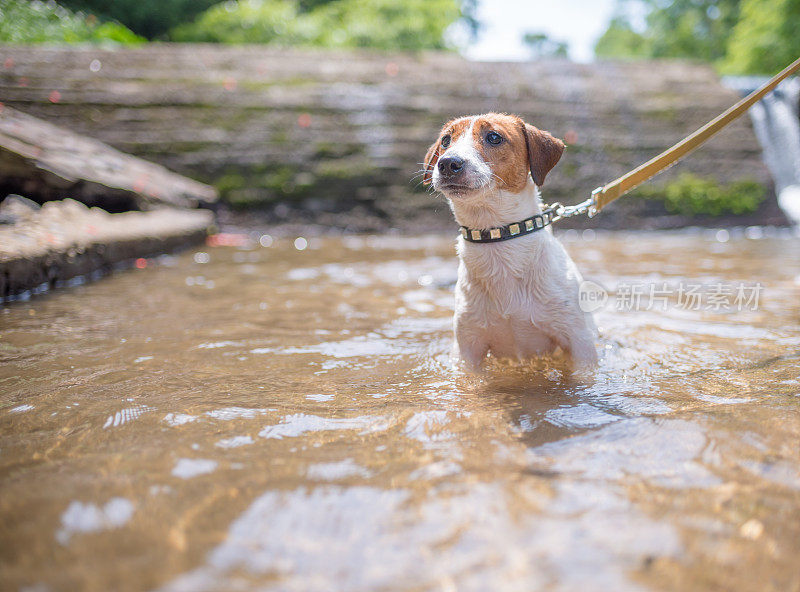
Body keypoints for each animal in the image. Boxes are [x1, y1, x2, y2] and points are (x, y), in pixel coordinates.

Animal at [422, 112, 596, 370]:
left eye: (494, 137)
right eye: (445, 140)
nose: (447, 163)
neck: (498, 238)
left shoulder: (579, 343)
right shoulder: (468, 347)